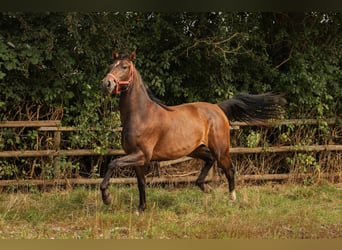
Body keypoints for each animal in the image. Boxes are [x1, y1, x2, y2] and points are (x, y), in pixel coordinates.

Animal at [99, 51, 286, 212]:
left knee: (230, 169)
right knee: (210, 160)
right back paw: (204, 187)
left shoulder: (141, 155)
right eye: (111, 65)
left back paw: (231, 198)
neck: (141, 114)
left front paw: (107, 197)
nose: (106, 84)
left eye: (124, 67)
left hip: (221, 149)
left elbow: (113, 163)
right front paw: (141, 208)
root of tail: (218, 108)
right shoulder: (138, 158)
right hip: (195, 149)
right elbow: (141, 183)